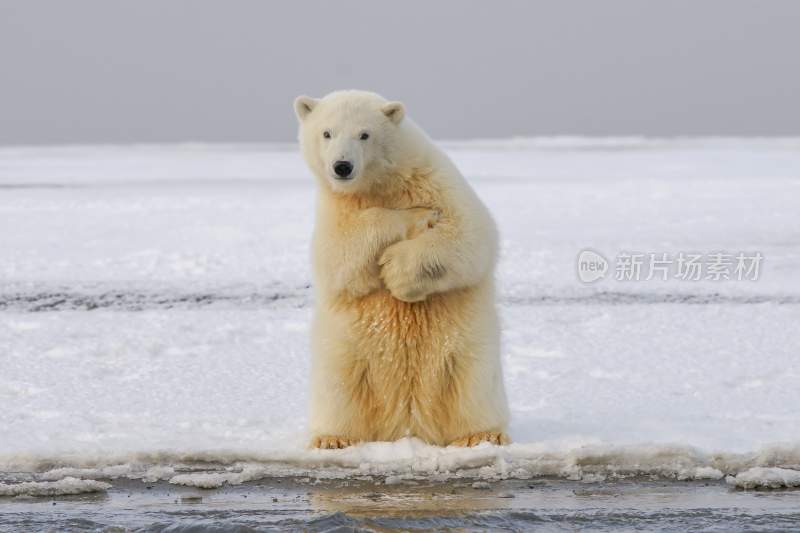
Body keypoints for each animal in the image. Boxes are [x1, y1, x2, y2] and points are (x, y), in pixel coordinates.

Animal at [296, 89, 512, 446]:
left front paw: (397, 271)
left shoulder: (436, 181)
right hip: (345, 353)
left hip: (467, 351)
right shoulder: (336, 207)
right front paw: (414, 217)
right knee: (339, 386)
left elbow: (470, 234)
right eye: (327, 133)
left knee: (472, 384)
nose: (342, 166)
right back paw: (333, 438)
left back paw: (481, 435)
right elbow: (338, 255)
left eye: (364, 134)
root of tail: (407, 425)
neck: (383, 183)